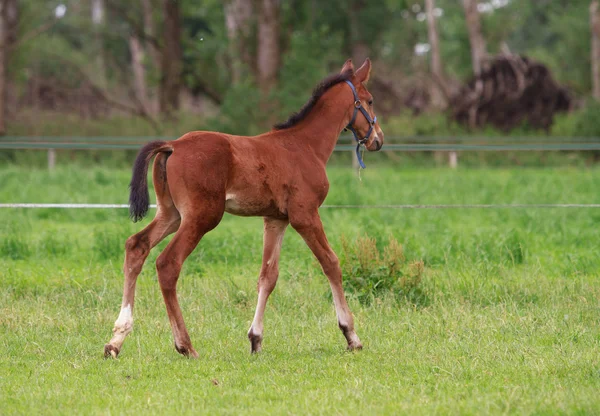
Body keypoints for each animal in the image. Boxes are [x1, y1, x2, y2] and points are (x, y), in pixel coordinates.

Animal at [103, 58, 384, 358]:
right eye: (369, 100)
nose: (378, 140)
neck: (305, 146)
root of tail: (173, 145)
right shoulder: (305, 215)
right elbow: (331, 263)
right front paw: (351, 335)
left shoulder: (275, 219)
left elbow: (268, 276)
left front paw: (255, 339)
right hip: (201, 217)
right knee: (168, 264)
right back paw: (185, 345)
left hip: (171, 214)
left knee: (137, 246)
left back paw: (116, 340)